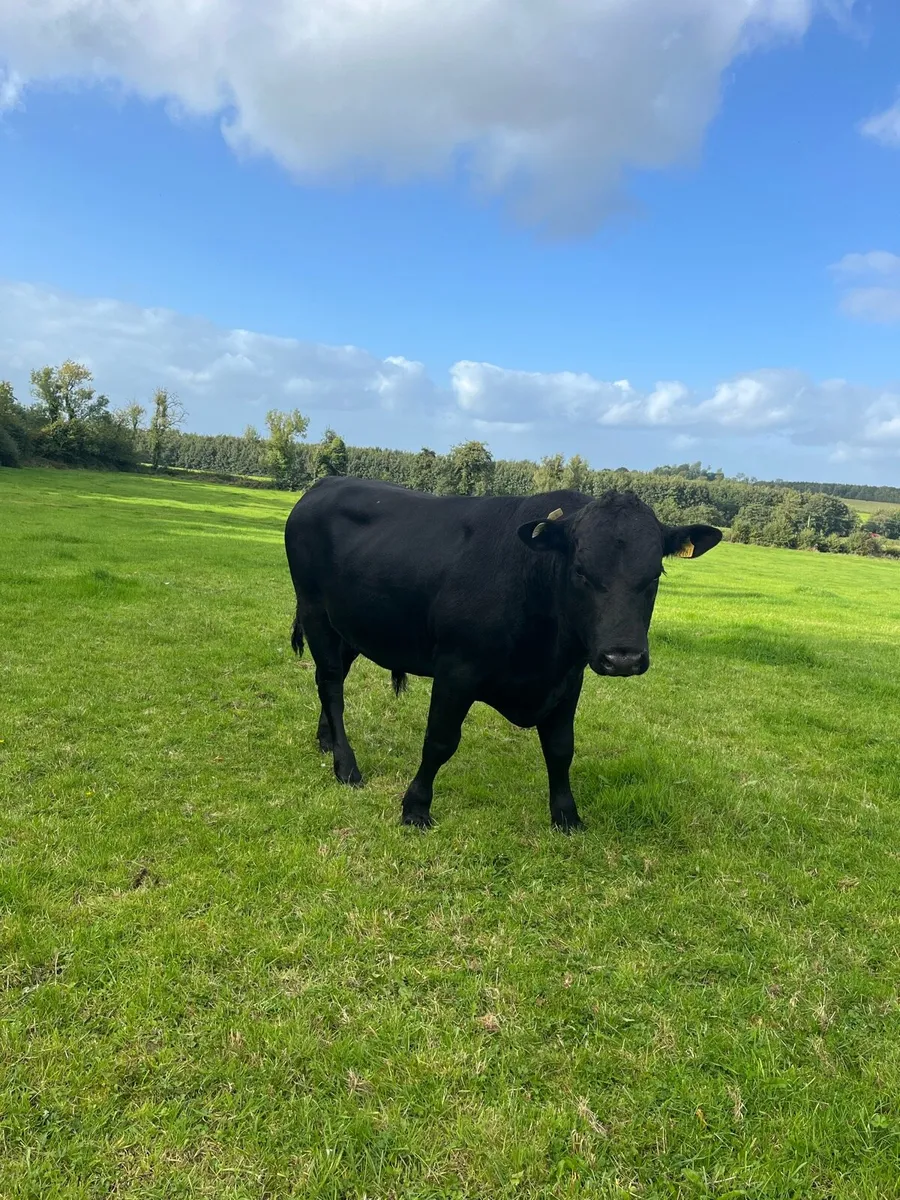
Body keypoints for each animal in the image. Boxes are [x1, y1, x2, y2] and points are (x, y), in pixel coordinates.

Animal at [284, 477, 721, 831]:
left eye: (655, 574)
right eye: (580, 571)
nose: (623, 658)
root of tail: (325, 484)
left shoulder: (569, 678)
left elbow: (561, 748)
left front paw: (567, 815)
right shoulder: (455, 671)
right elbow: (440, 741)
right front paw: (415, 807)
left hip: (349, 628)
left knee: (330, 681)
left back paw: (326, 741)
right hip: (315, 611)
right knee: (331, 684)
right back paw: (346, 765)